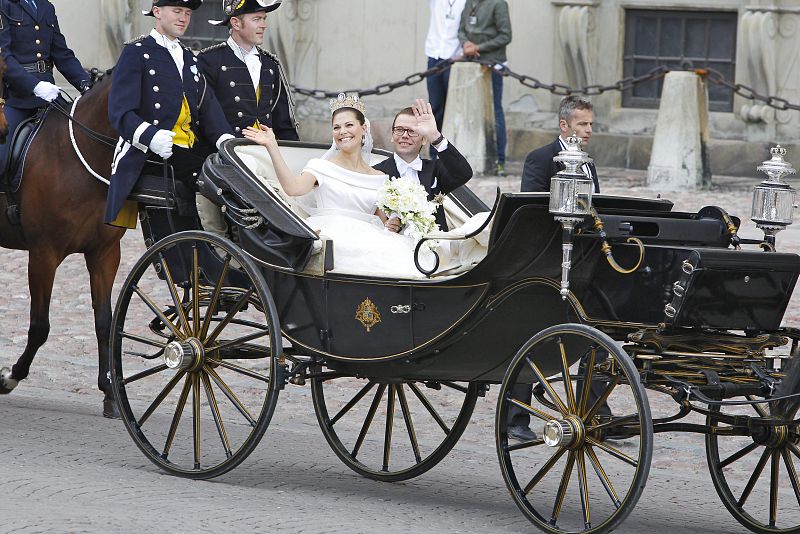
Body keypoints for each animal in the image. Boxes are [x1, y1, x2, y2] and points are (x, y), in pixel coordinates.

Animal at [0, 65, 125, 418]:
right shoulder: (44, 254)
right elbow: (40, 325)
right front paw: (11, 377)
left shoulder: (105, 254)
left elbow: (104, 322)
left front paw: (108, 392)